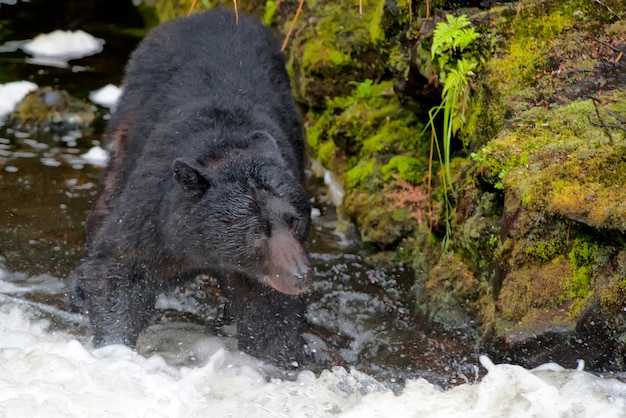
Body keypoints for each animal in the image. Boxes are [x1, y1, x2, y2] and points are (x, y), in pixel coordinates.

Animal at [67, 6, 310, 366]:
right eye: (257, 230)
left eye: (295, 221)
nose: (300, 275)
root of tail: (209, 13)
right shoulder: (154, 215)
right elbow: (120, 266)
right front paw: (115, 348)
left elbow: (269, 312)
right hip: (128, 123)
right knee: (106, 201)